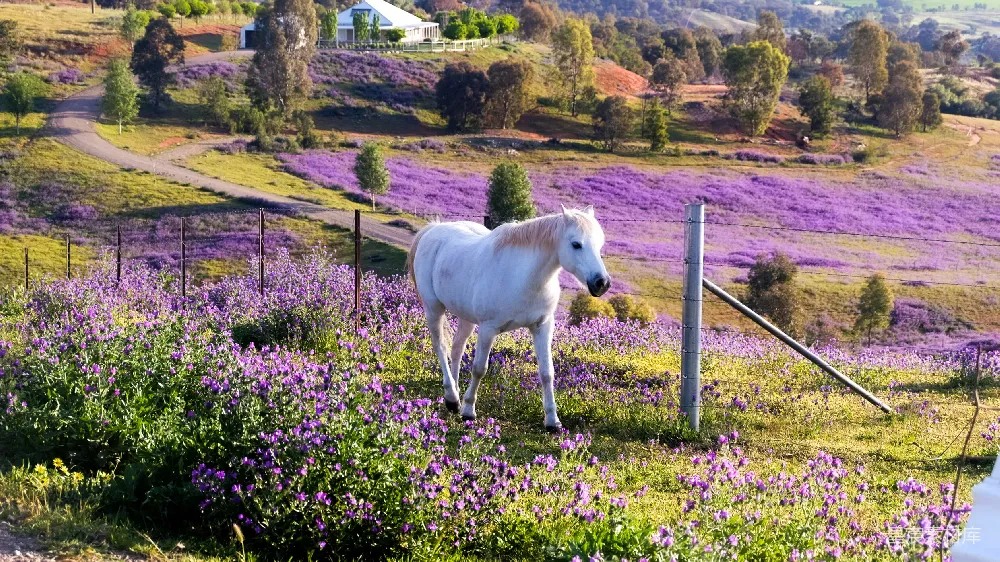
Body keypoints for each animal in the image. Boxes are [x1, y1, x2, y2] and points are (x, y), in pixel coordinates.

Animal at [407, 206, 611, 431]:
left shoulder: (542, 327)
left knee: (456, 348)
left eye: (600, 244)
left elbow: (547, 373)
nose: (602, 283)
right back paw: (452, 397)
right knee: (441, 347)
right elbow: (479, 369)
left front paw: (552, 421)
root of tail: (434, 229)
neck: (524, 278)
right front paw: (468, 411)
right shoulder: (488, 329)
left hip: (466, 317)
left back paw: (454, 397)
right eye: (576, 244)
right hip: (434, 309)